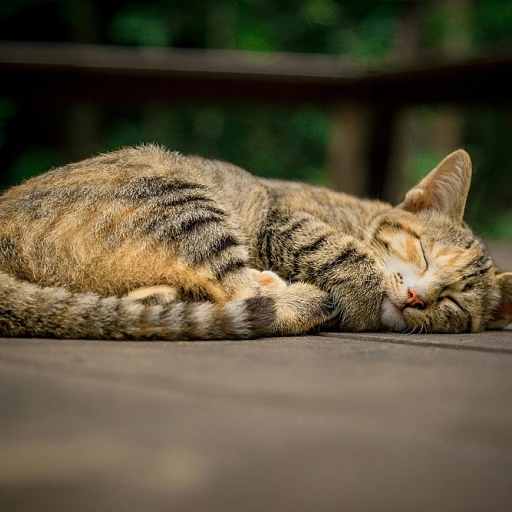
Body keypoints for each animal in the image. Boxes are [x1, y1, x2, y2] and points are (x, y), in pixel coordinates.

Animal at [0, 142, 510, 340]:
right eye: (423, 254)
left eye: (453, 303)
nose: (415, 296)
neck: (360, 216)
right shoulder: (281, 216)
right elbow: (344, 256)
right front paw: (362, 298)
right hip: (179, 198)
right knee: (240, 290)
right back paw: (301, 298)